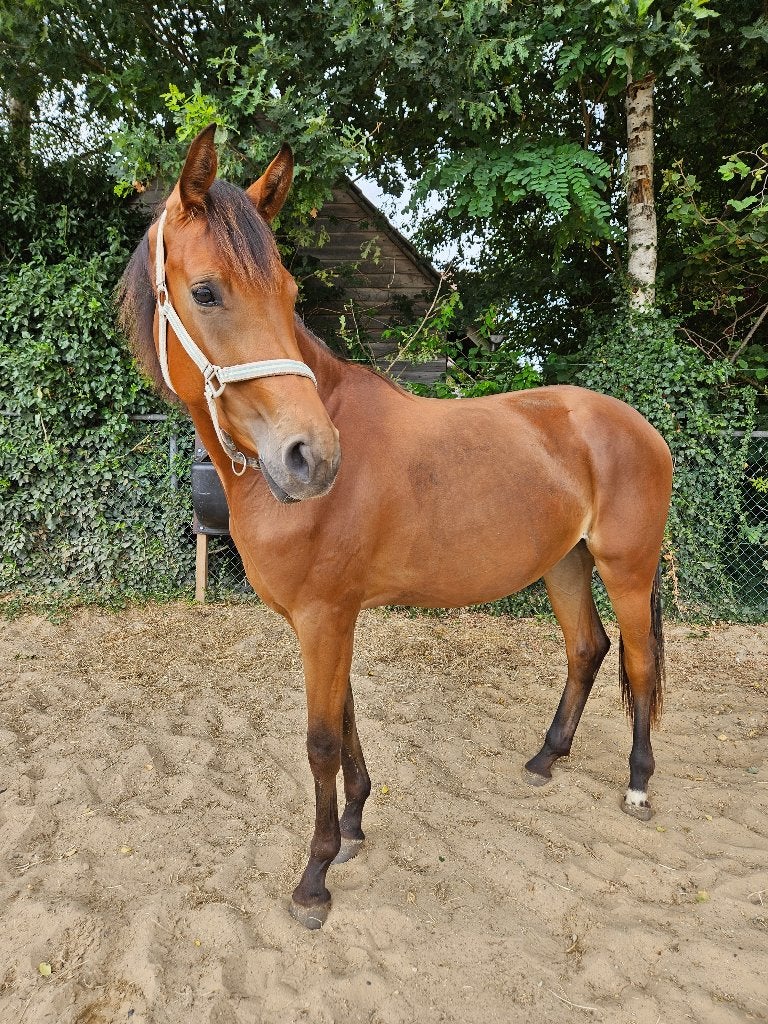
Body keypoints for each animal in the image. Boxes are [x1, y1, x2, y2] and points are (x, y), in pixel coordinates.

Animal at [117, 124, 673, 930]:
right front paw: (352, 827)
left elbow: (320, 740)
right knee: (586, 650)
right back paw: (546, 759)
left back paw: (637, 784)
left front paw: (314, 878)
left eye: (288, 295)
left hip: (624, 568)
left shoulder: (325, 617)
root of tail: (639, 426)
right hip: (563, 563)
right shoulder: (328, 619)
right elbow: (347, 721)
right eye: (207, 291)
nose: (311, 458)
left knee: (637, 663)